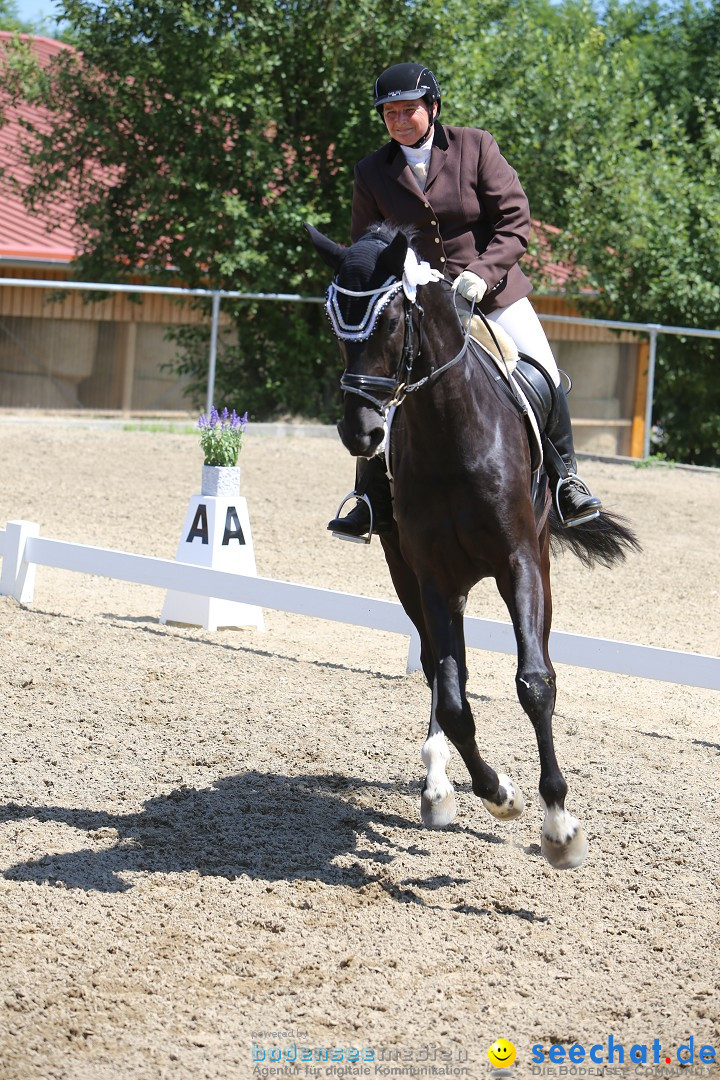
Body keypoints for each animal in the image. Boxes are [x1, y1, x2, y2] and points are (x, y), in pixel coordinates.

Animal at [306, 221, 639, 868]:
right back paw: (437, 786)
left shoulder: (520, 563)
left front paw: (560, 827)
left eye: (391, 321)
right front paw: (500, 794)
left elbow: (535, 683)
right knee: (438, 669)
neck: (450, 433)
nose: (362, 433)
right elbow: (456, 699)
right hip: (409, 573)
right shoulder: (432, 575)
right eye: (335, 326)